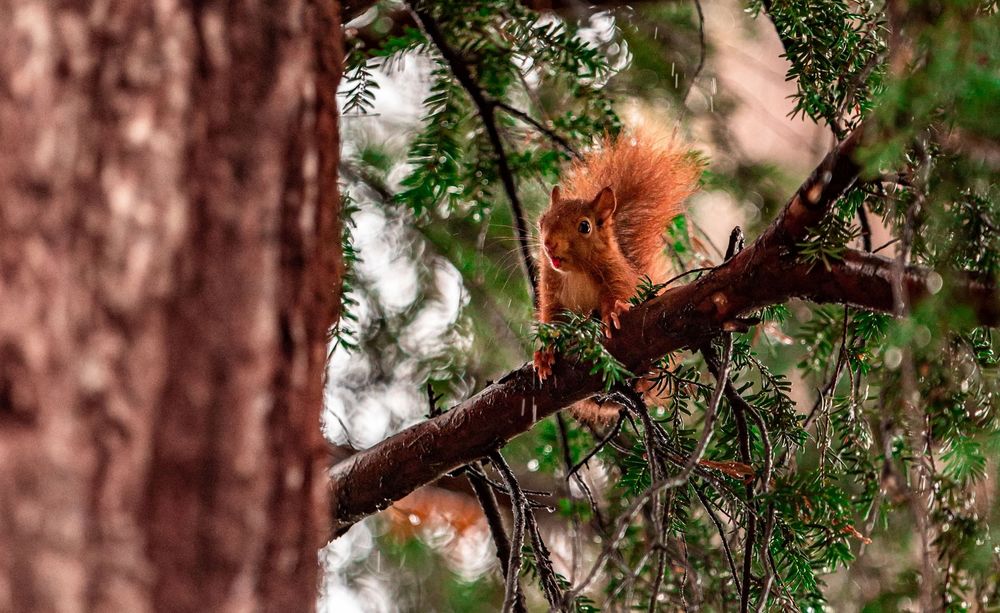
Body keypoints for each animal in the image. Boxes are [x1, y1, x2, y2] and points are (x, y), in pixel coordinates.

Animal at [532, 127, 702, 420]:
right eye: (543, 221)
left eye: (585, 226)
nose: (548, 244)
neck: (575, 271)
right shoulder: (551, 292)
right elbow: (553, 320)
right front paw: (544, 353)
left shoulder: (616, 274)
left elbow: (619, 293)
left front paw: (613, 313)